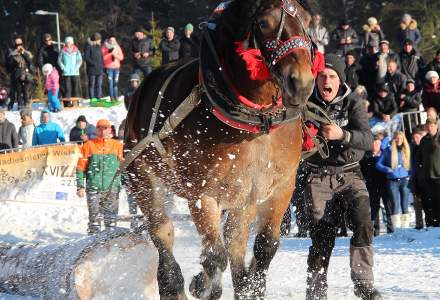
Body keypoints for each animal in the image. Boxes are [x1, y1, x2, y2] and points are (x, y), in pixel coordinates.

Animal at [125, 0, 314, 300]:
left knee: (235, 243)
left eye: (307, 20)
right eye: (264, 23)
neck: (256, 124)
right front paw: (204, 285)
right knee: (162, 232)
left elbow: (264, 247)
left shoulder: (279, 187)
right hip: (142, 176)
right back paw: (173, 282)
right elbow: (214, 256)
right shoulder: (203, 194)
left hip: (241, 199)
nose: (302, 83)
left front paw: (250, 287)